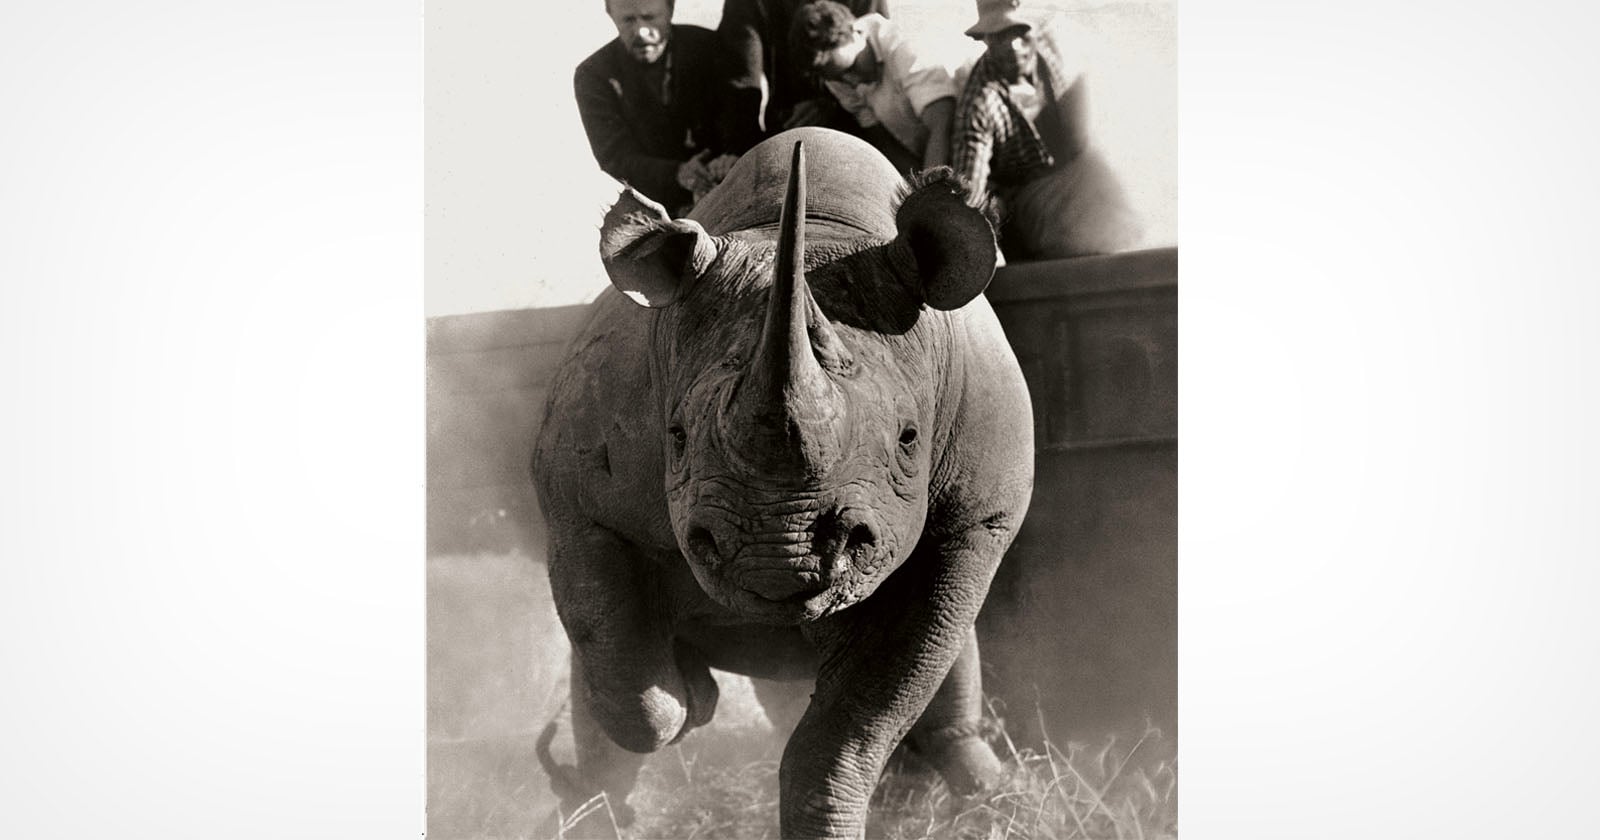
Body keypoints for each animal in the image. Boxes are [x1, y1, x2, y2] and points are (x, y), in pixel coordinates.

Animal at [532, 127, 1035, 839]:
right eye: (675, 436)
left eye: (910, 439)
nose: (775, 559)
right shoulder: (576, 500)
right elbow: (620, 669)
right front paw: (693, 697)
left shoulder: (971, 524)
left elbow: (856, 725)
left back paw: (994, 796)